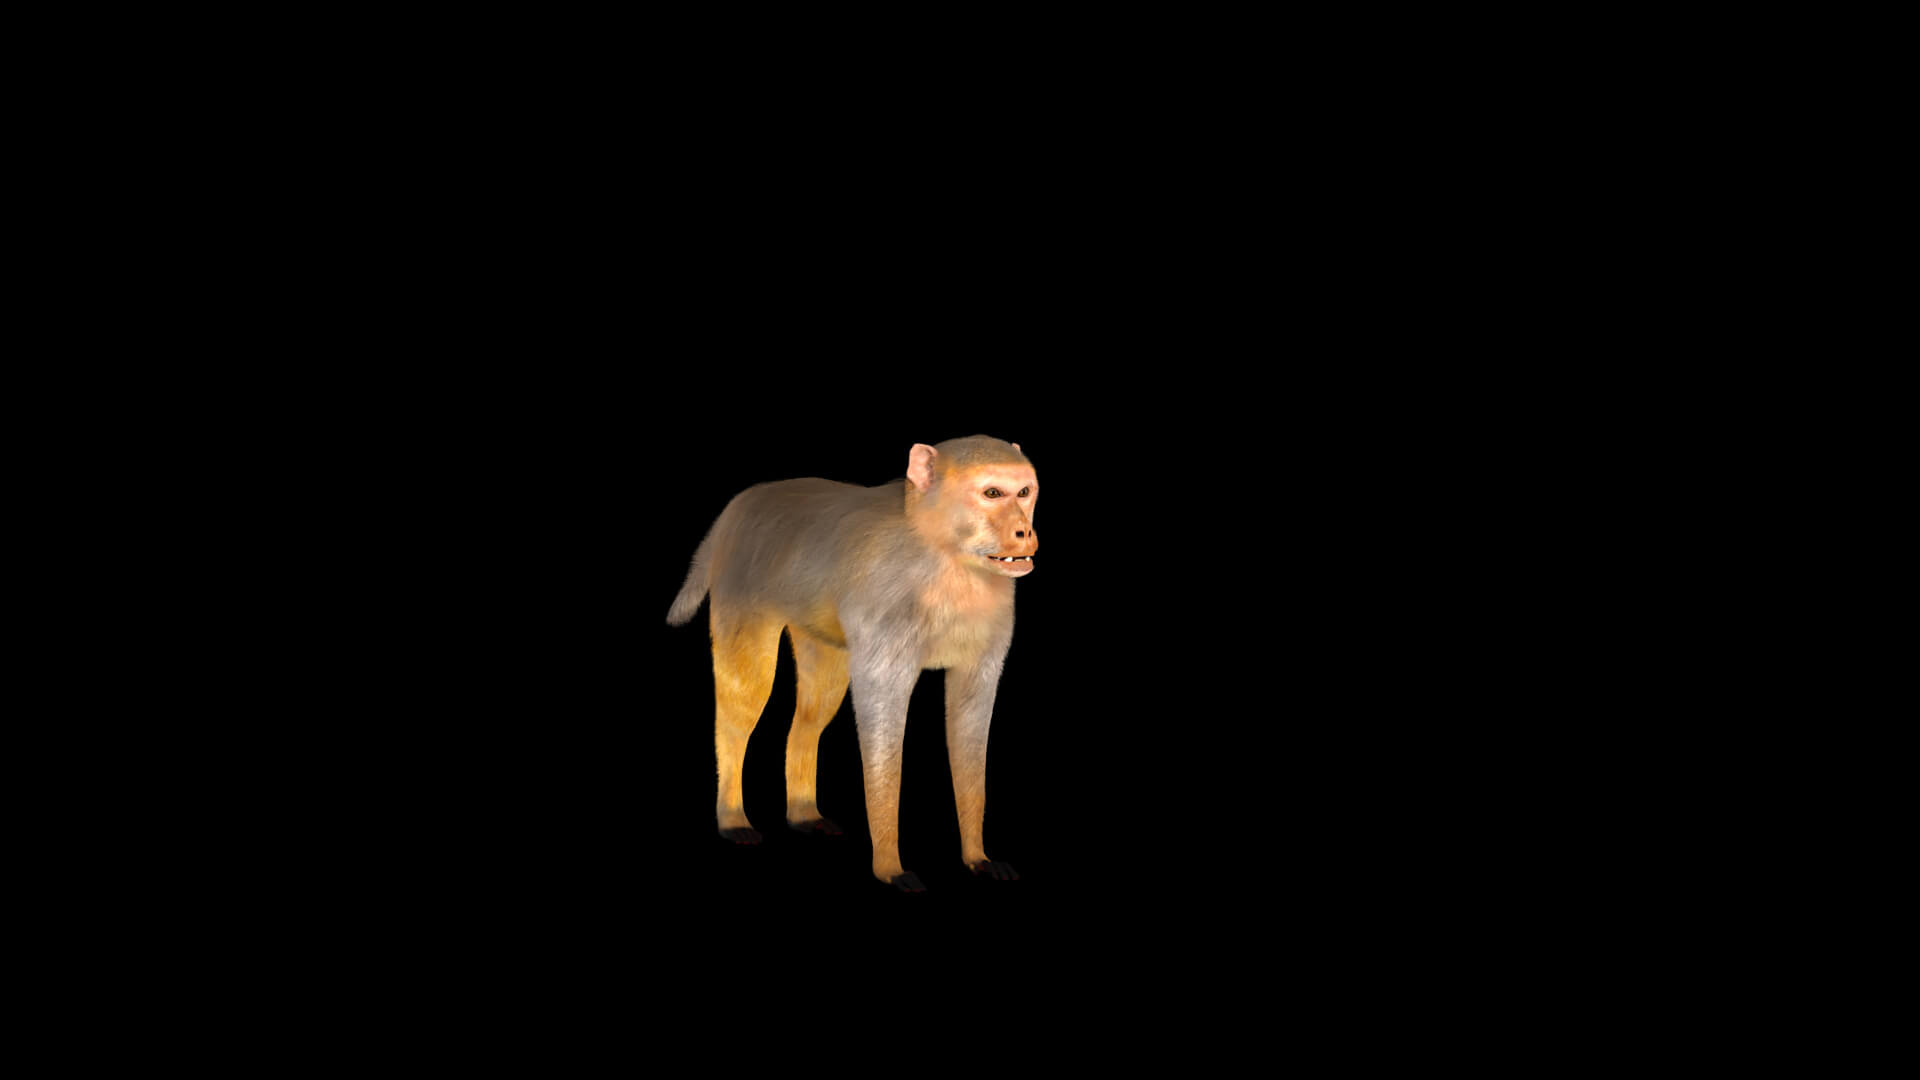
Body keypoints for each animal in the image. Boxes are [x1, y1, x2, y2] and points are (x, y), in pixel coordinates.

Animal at [666, 435, 1038, 893]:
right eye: (993, 493)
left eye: (1024, 492)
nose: (1024, 531)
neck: (944, 556)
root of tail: (735, 509)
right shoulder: (887, 604)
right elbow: (882, 713)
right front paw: (890, 866)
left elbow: (969, 719)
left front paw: (977, 858)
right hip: (740, 589)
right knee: (743, 703)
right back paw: (733, 817)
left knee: (814, 708)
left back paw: (803, 812)